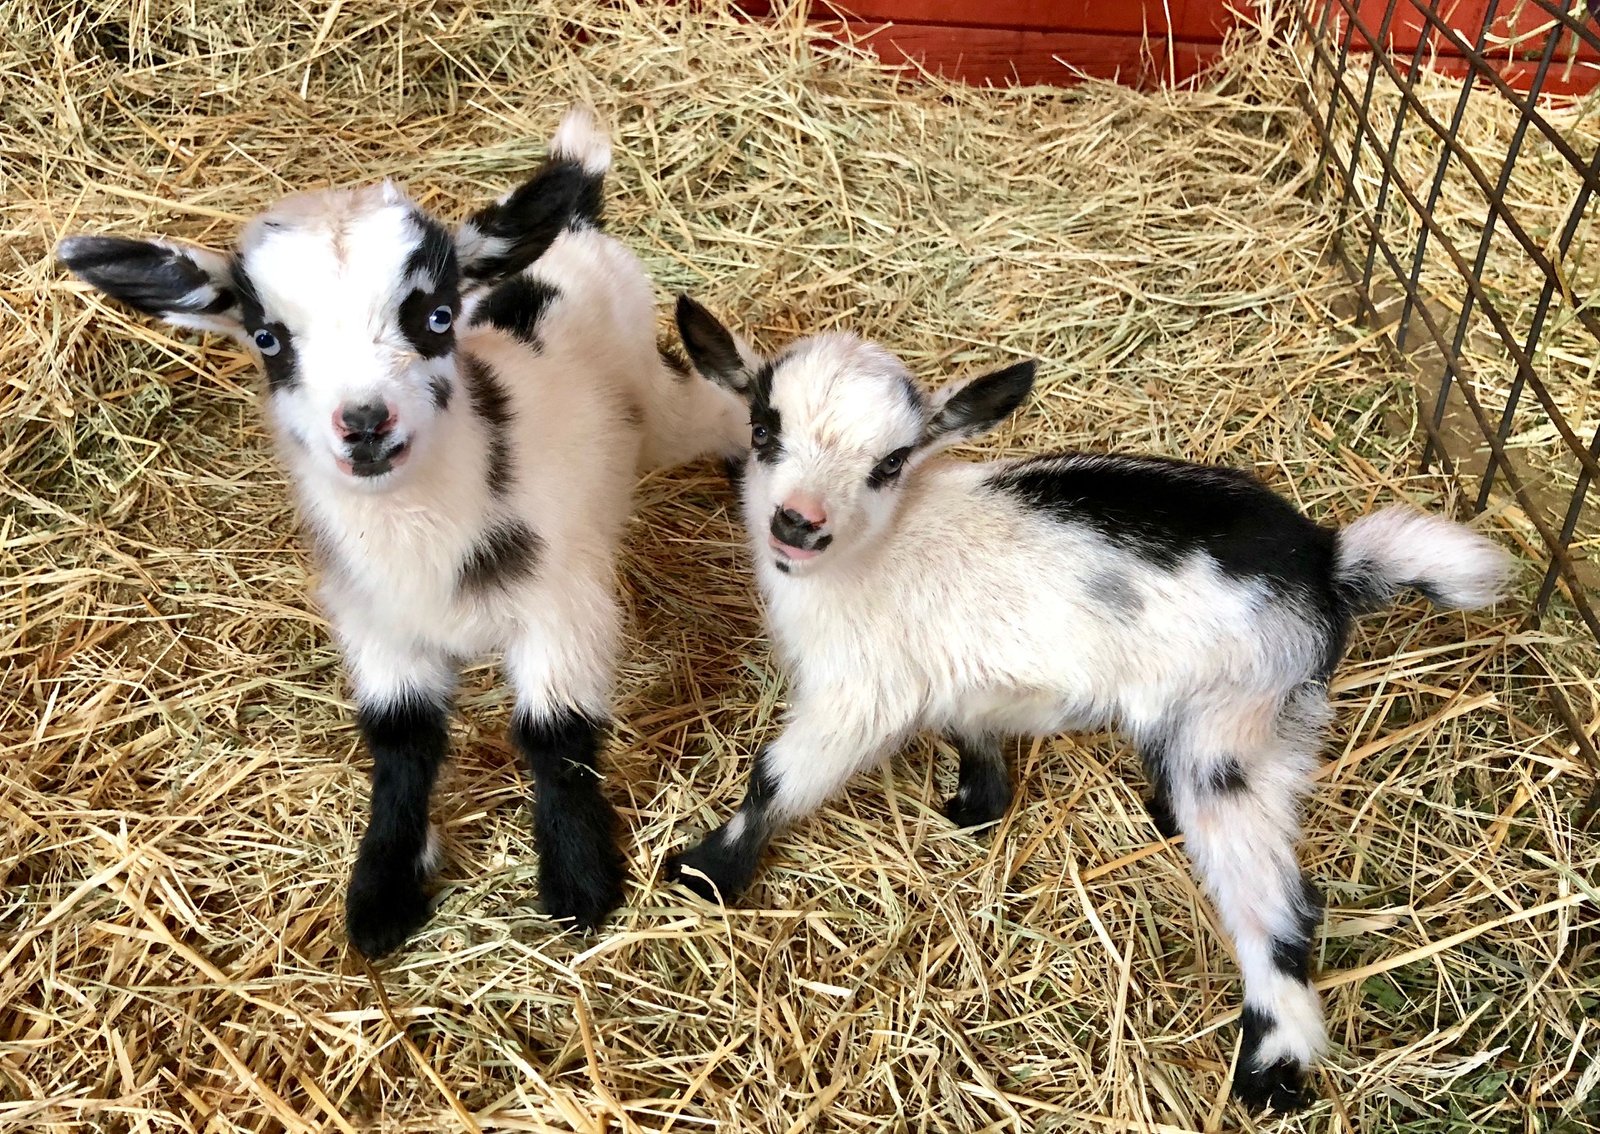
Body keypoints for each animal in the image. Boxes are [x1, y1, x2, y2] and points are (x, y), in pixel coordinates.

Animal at [56, 108, 742, 953]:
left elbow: (555, 734)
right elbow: (401, 743)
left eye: (437, 316)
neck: (422, 534)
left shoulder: (562, 606)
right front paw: (382, 894)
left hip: (658, 408)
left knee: (719, 407)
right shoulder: (378, 628)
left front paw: (579, 882)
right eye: (267, 338)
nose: (363, 423)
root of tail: (576, 226)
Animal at [662, 295, 1510, 1113]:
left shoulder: (861, 693)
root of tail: (1332, 563)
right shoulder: (966, 685)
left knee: (1279, 906)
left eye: (891, 463)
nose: (798, 522)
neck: (879, 548)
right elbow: (975, 738)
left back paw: (1272, 1068)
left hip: (1231, 726)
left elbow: (774, 780)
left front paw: (704, 871)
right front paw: (975, 803)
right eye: (764, 426)